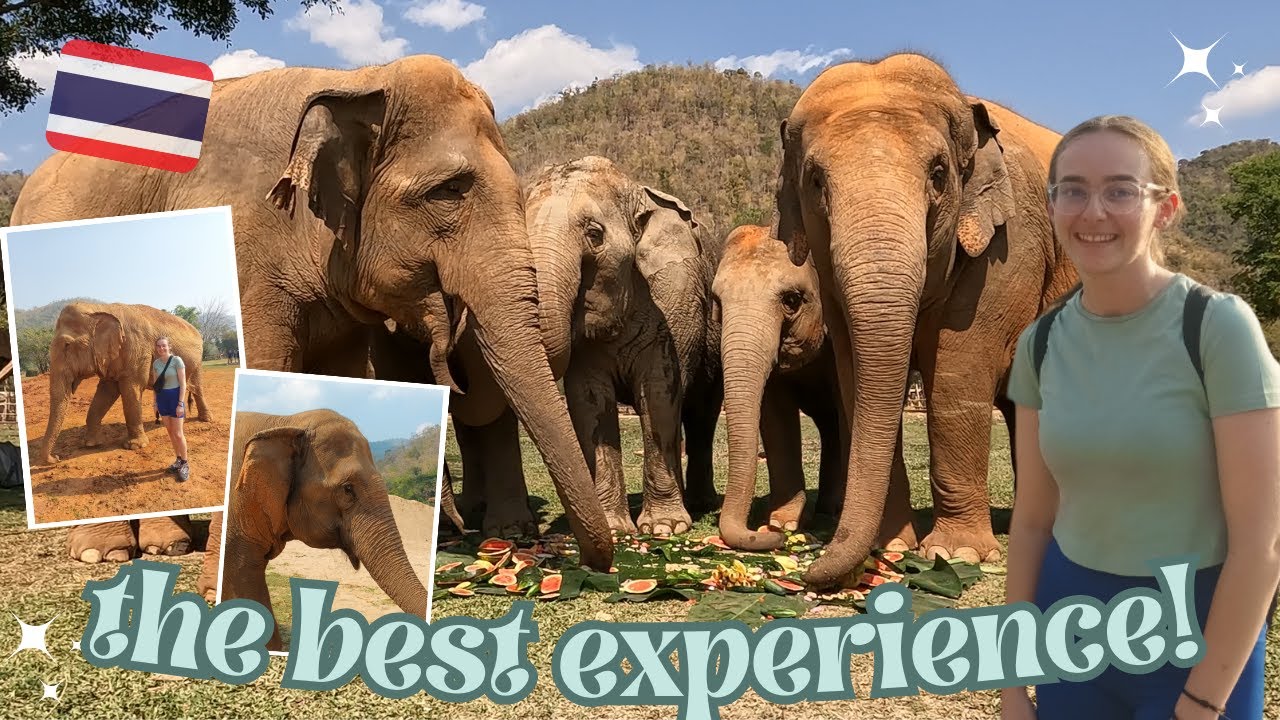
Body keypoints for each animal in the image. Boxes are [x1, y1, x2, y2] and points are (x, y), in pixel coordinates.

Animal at [38, 302, 209, 465]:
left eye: (67, 345)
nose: (56, 458)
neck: (101, 308)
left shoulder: (137, 350)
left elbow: (131, 389)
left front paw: (134, 446)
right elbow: (106, 392)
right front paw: (91, 444)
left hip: (197, 362)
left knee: (198, 388)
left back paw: (205, 419)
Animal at [522, 156, 723, 535]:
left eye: (594, 234)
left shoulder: (670, 307)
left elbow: (658, 394)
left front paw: (664, 529)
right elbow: (589, 403)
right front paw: (616, 529)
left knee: (702, 412)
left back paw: (699, 505)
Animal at [771, 53, 1077, 588]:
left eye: (938, 174)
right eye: (815, 181)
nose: (807, 571)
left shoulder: (1011, 242)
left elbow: (959, 366)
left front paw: (959, 552)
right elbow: (855, 373)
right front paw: (891, 545)